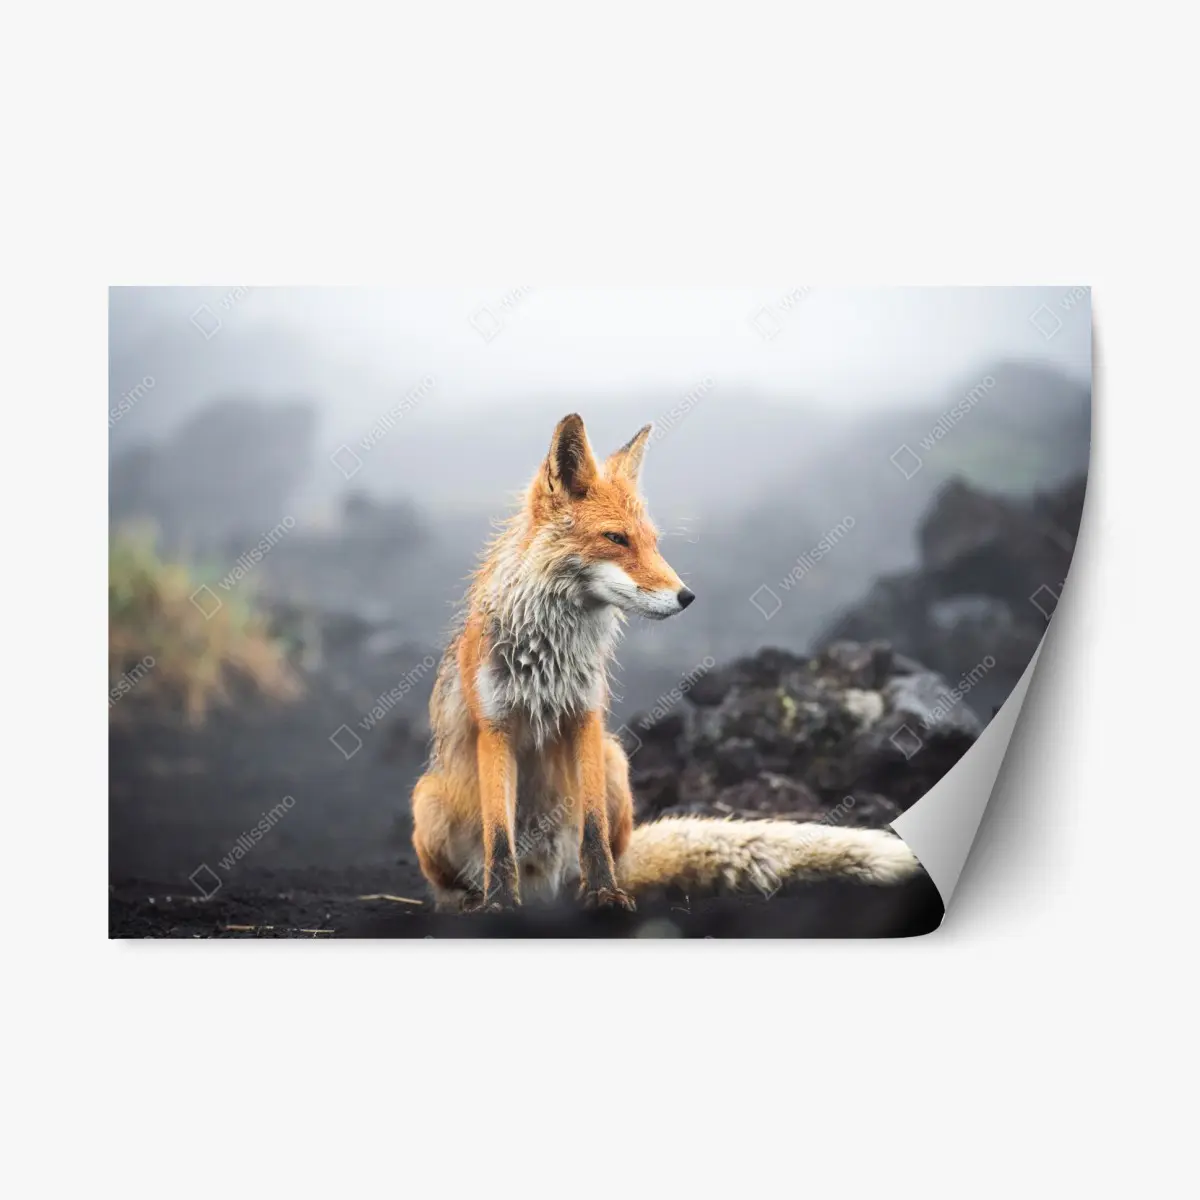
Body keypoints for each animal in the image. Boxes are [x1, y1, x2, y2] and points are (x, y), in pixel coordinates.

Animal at [411, 413, 922, 912]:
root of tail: (545, 889)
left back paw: (587, 891)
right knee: (454, 881)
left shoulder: (585, 717)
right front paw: (500, 904)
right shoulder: (495, 726)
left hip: (615, 762)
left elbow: (593, 830)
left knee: (605, 854)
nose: (686, 596)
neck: (549, 658)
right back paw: (471, 902)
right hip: (427, 800)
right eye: (615, 538)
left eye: (652, 542)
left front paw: (605, 896)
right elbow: (499, 837)